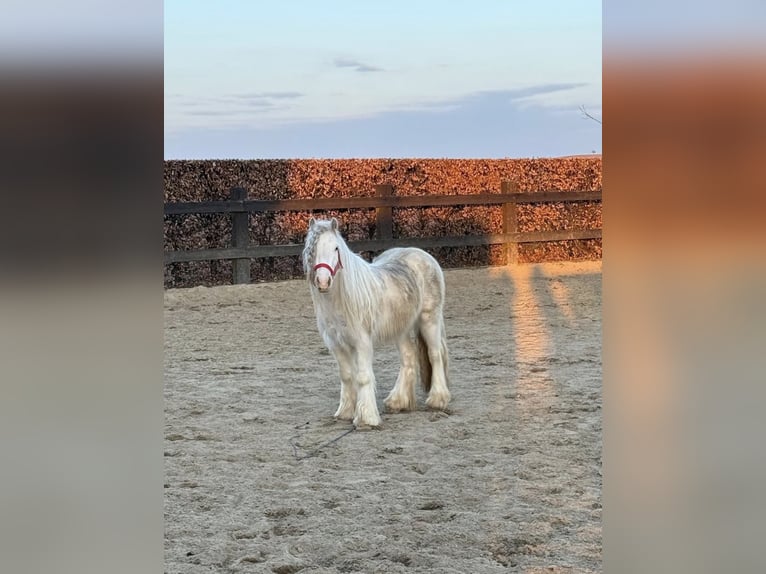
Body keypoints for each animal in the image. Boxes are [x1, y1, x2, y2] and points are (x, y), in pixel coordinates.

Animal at [302, 217, 451, 428]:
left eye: (336, 248)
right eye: (312, 249)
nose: (323, 281)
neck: (341, 300)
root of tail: (423, 255)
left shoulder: (362, 342)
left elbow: (363, 377)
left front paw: (366, 419)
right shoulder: (336, 343)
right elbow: (346, 375)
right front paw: (345, 412)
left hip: (429, 319)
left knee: (435, 354)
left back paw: (437, 399)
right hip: (402, 328)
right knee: (408, 357)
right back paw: (397, 402)